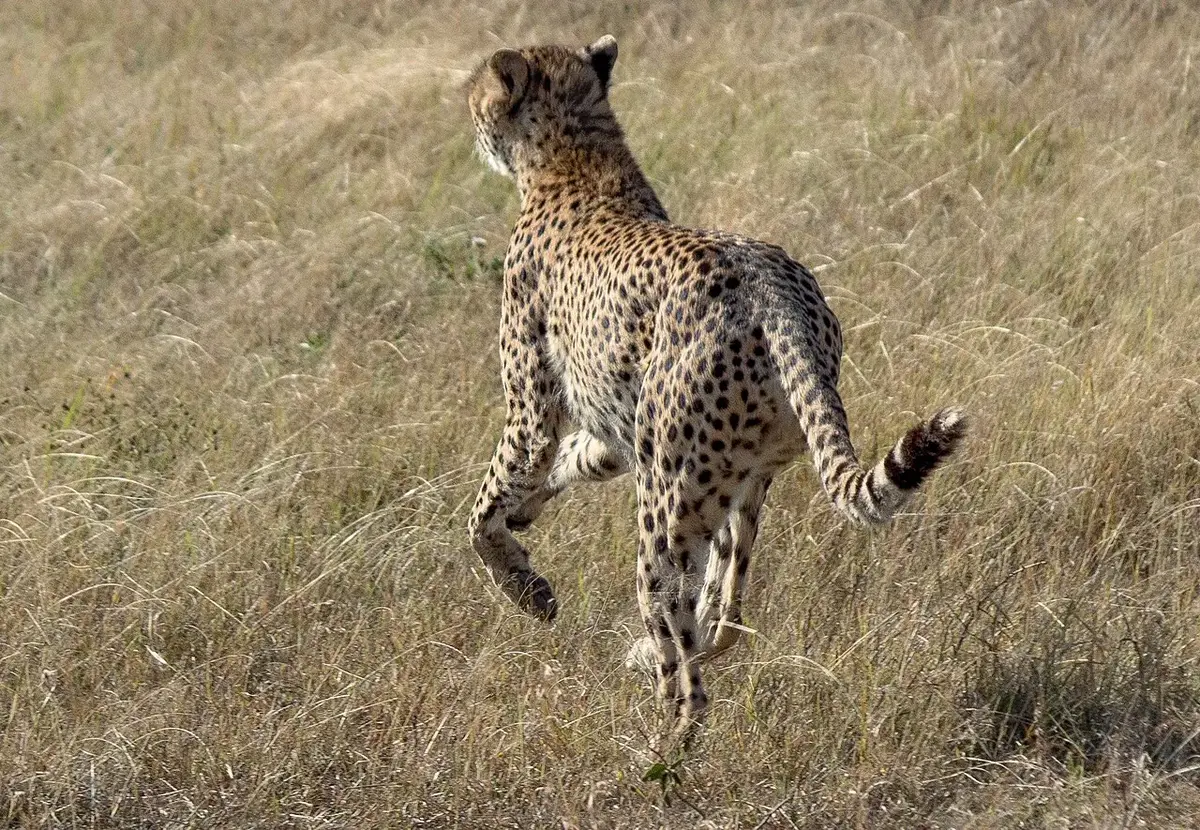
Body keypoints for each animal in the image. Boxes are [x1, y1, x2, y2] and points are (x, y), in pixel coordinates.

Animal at [464, 35, 966, 741]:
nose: (469, 113)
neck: (576, 155)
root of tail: (775, 288)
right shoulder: (619, 431)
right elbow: (570, 461)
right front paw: (528, 516)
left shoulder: (532, 413)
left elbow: (484, 509)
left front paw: (527, 590)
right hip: (738, 480)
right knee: (724, 610)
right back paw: (661, 654)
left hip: (669, 497)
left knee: (681, 644)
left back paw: (657, 748)